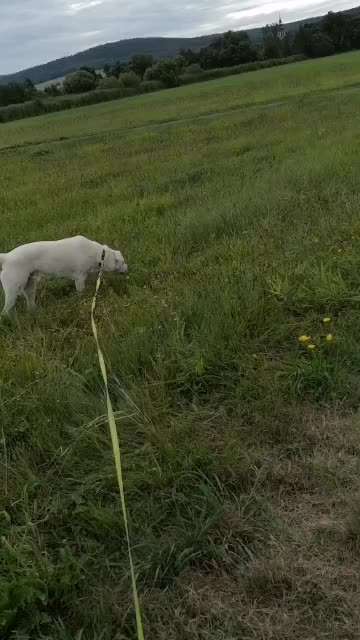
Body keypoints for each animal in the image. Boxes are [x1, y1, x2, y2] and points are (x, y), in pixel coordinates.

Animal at [0, 235, 128, 316]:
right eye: (122, 262)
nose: (127, 269)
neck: (99, 254)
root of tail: (7, 257)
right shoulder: (80, 278)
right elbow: (81, 293)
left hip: (29, 287)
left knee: (30, 306)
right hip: (13, 291)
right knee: (5, 312)